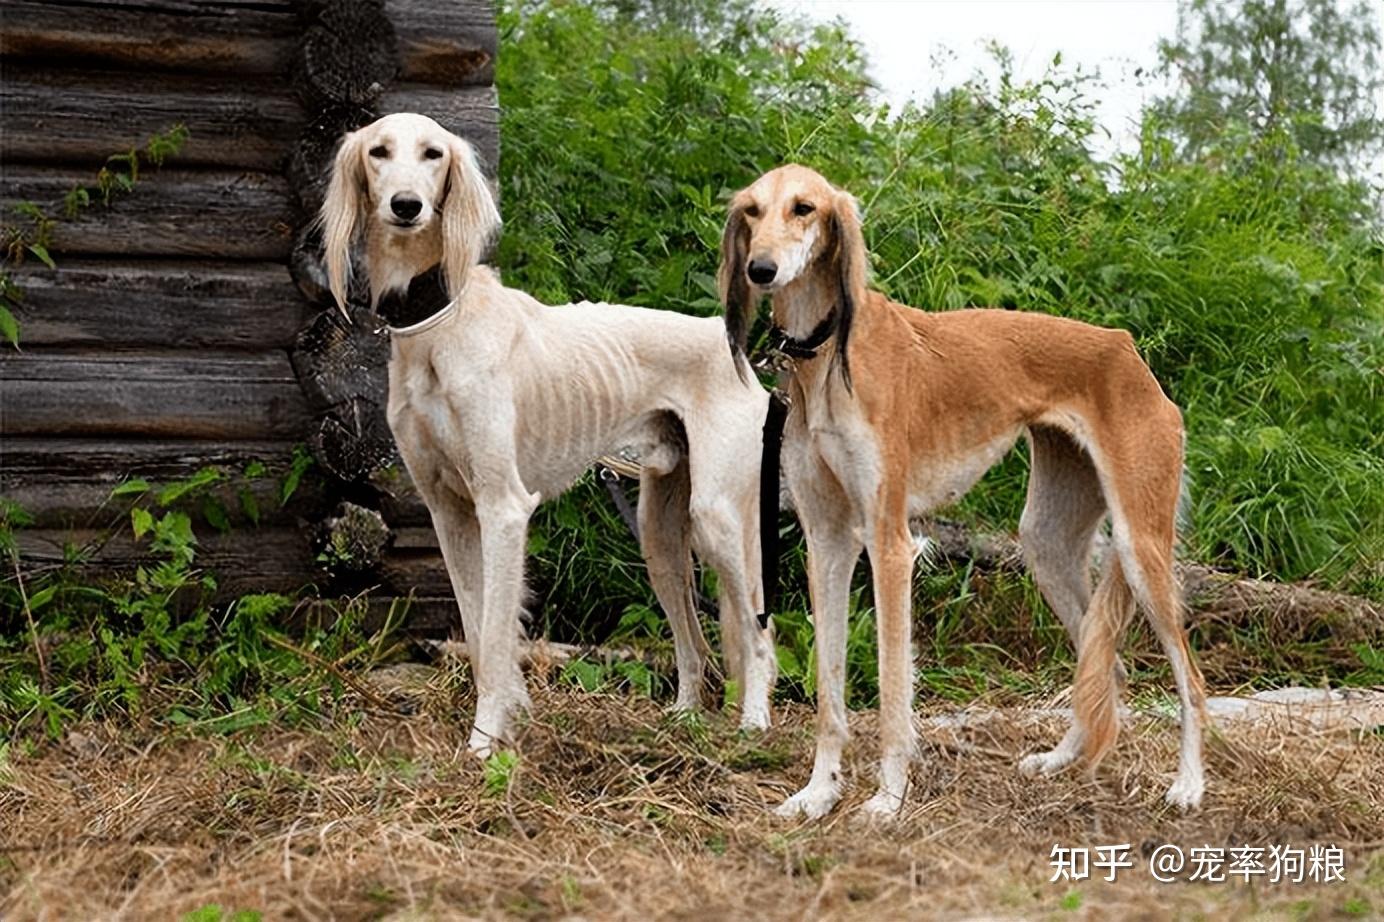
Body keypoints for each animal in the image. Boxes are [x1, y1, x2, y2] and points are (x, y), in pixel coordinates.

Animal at [321, 111, 780, 753]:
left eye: (434, 154)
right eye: (378, 152)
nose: (406, 206)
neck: (438, 323)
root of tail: (736, 351)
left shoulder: (503, 506)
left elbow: (495, 632)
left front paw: (486, 741)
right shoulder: (447, 512)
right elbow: (477, 629)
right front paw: (506, 724)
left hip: (718, 517)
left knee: (756, 634)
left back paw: (754, 723)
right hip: (660, 534)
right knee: (692, 641)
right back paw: (684, 718)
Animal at [719, 165, 1206, 819]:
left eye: (804, 208)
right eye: (752, 211)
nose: (762, 270)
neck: (825, 353)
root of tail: (1125, 349)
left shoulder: (889, 543)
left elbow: (893, 688)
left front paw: (887, 799)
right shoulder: (827, 541)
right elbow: (829, 688)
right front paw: (818, 793)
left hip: (1140, 542)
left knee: (1188, 677)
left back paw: (1189, 785)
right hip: (1047, 542)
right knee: (1108, 666)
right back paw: (1057, 761)